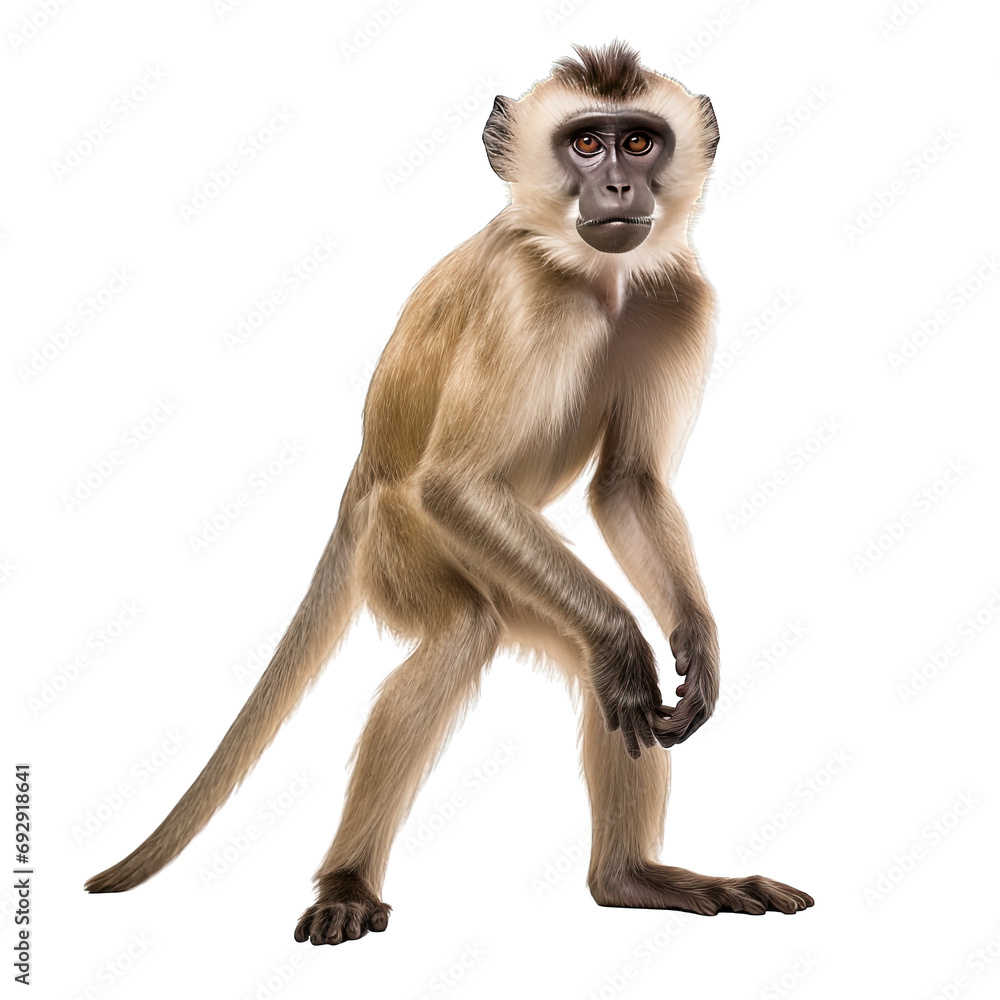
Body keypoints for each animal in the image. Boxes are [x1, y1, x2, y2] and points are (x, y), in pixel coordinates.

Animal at [85, 41, 814, 944]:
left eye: (640, 142)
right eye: (586, 144)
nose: (618, 187)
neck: (593, 279)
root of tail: (359, 484)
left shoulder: (676, 293)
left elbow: (629, 487)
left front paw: (697, 643)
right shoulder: (526, 300)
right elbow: (460, 485)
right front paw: (631, 647)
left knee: (582, 667)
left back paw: (630, 878)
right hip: (406, 539)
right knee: (469, 629)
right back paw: (350, 882)